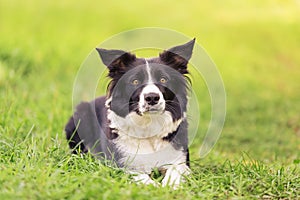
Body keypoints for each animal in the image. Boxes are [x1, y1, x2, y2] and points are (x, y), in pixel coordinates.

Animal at [65, 39, 195, 188]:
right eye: (135, 81)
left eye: (163, 79)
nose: (152, 97)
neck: (149, 125)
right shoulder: (122, 164)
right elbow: (142, 177)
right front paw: (155, 187)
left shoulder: (180, 159)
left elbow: (175, 172)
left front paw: (169, 187)